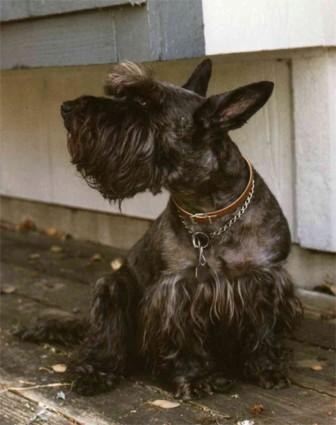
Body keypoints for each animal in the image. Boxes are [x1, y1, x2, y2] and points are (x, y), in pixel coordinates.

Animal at [37, 59, 304, 398]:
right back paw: (94, 373)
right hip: (113, 288)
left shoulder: (265, 279)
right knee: (103, 344)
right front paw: (195, 377)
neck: (209, 213)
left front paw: (266, 367)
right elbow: (183, 338)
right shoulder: (177, 290)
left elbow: (263, 328)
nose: (67, 108)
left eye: (143, 102)